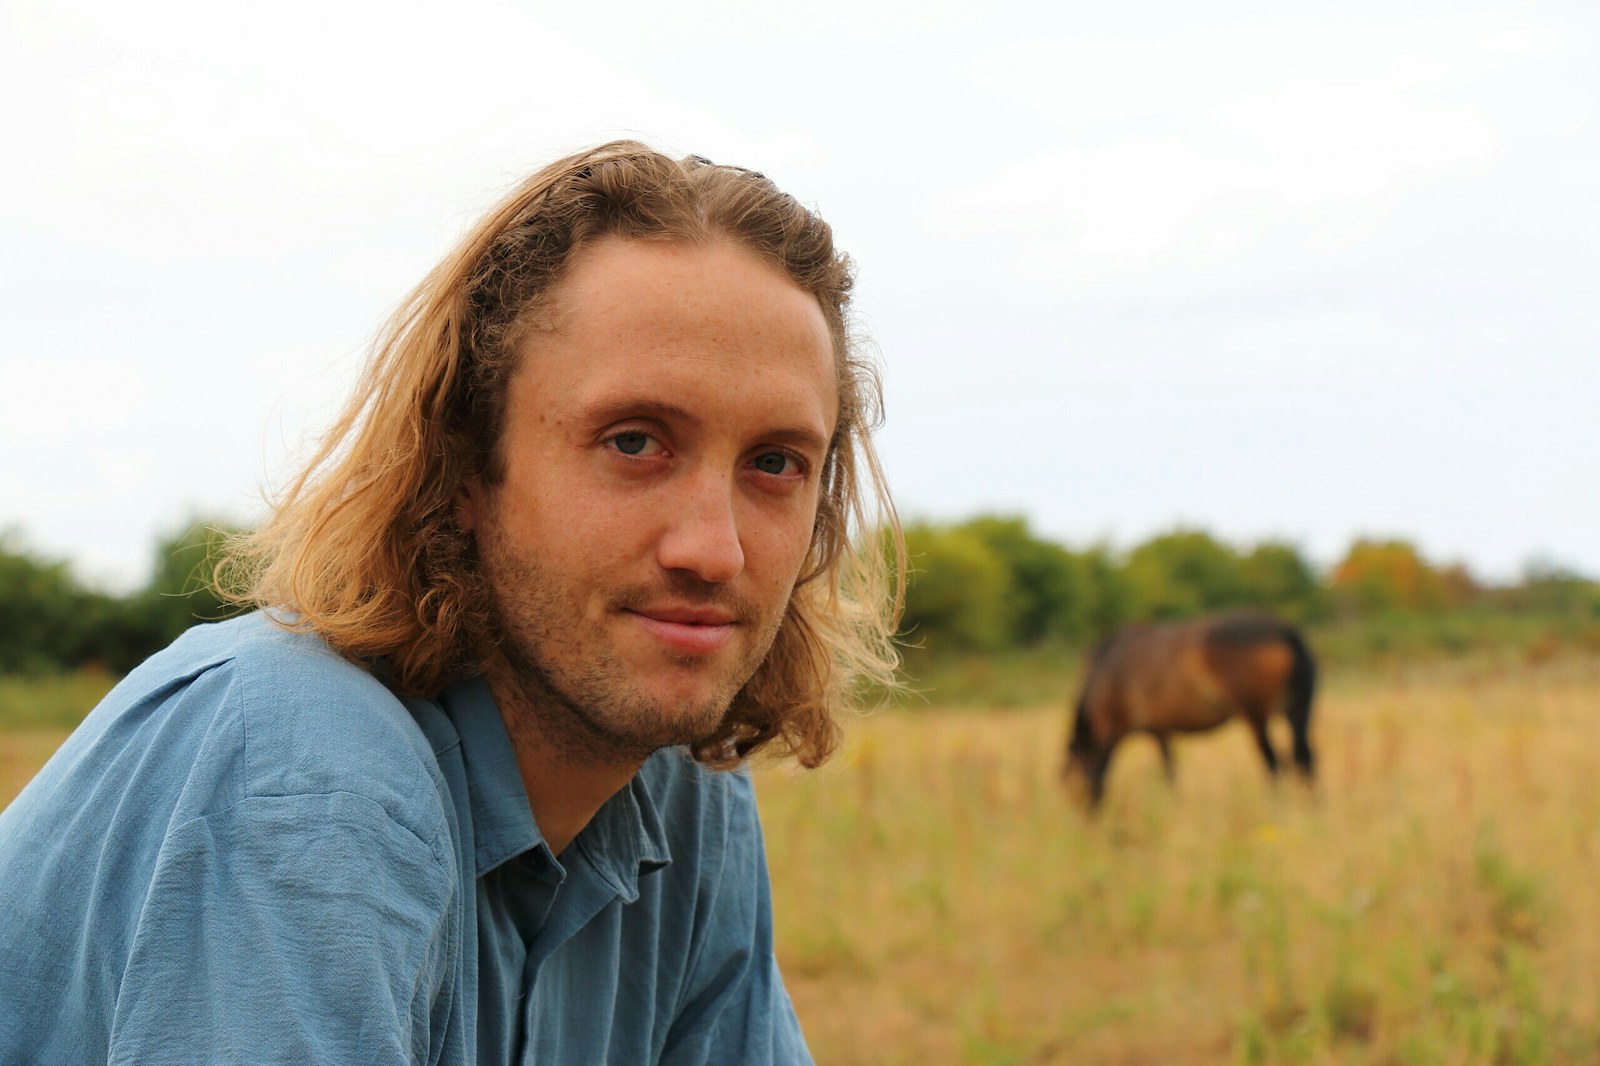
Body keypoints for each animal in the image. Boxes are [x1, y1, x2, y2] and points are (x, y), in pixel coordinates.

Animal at [1062, 605, 1312, 806]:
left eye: (1070, 782)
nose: (1083, 822)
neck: (1112, 677)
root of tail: (1285, 631)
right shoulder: (1160, 732)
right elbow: (1169, 771)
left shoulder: (1144, 732)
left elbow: (1164, 773)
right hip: (1293, 713)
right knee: (1303, 759)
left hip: (1257, 718)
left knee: (1274, 763)